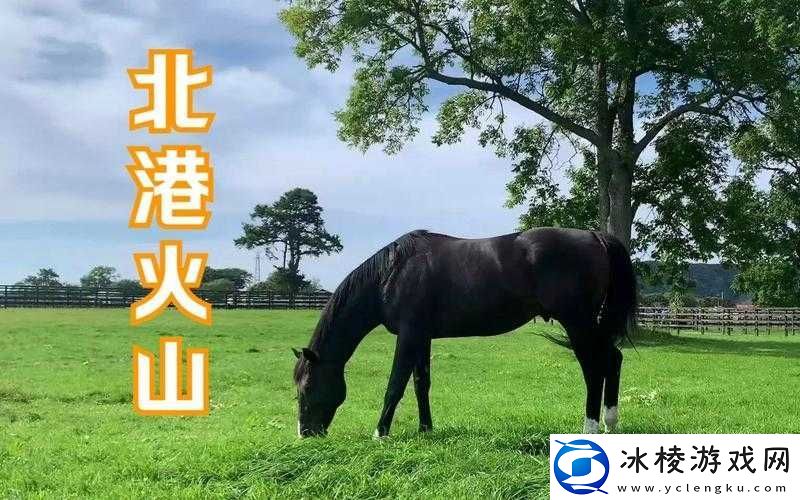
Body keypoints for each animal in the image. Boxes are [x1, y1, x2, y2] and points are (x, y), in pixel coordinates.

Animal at [292, 227, 637, 438]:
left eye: (307, 386)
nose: (306, 433)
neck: (392, 274)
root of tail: (594, 236)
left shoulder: (408, 335)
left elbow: (395, 384)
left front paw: (380, 433)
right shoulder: (422, 336)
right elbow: (421, 383)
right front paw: (426, 429)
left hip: (578, 323)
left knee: (594, 368)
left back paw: (590, 428)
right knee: (613, 359)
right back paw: (610, 423)